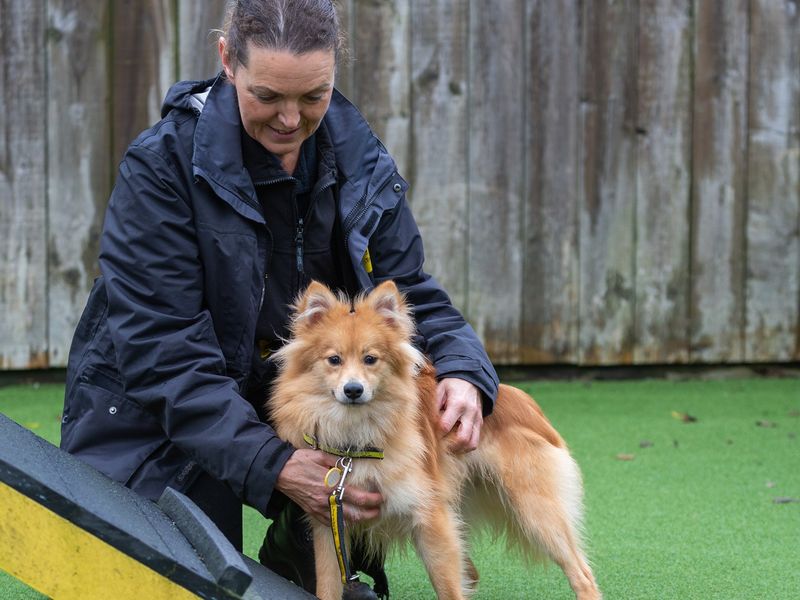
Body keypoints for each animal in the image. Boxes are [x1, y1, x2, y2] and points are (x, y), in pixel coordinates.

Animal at [270, 282, 600, 600]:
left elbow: (449, 590)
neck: (355, 441)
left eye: (370, 359)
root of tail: (525, 402)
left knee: (582, 574)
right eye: (334, 360)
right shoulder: (329, 523)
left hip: (537, 513)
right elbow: (327, 588)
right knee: (472, 573)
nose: (353, 390)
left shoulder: (431, 518)